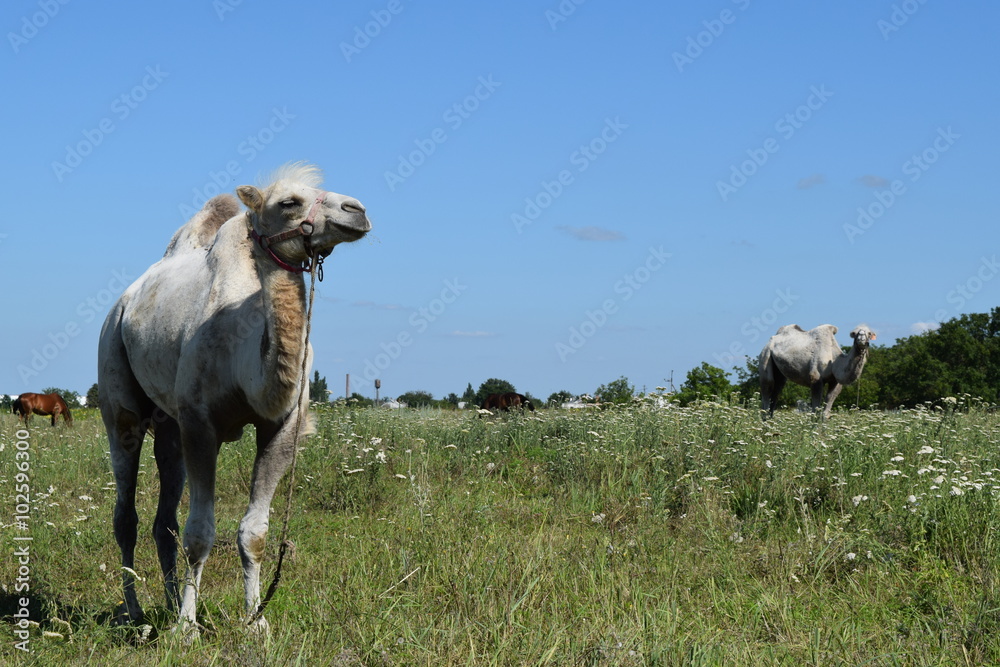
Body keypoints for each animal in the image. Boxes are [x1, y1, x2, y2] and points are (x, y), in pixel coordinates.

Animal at [98, 163, 371, 637]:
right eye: (289, 202)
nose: (357, 210)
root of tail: (126, 301)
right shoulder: (200, 423)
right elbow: (201, 532)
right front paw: (187, 628)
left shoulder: (282, 426)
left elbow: (253, 532)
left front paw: (256, 620)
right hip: (117, 384)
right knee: (125, 513)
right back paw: (135, 612)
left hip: (169, 425)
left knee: (163, 520)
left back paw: (168, 602)